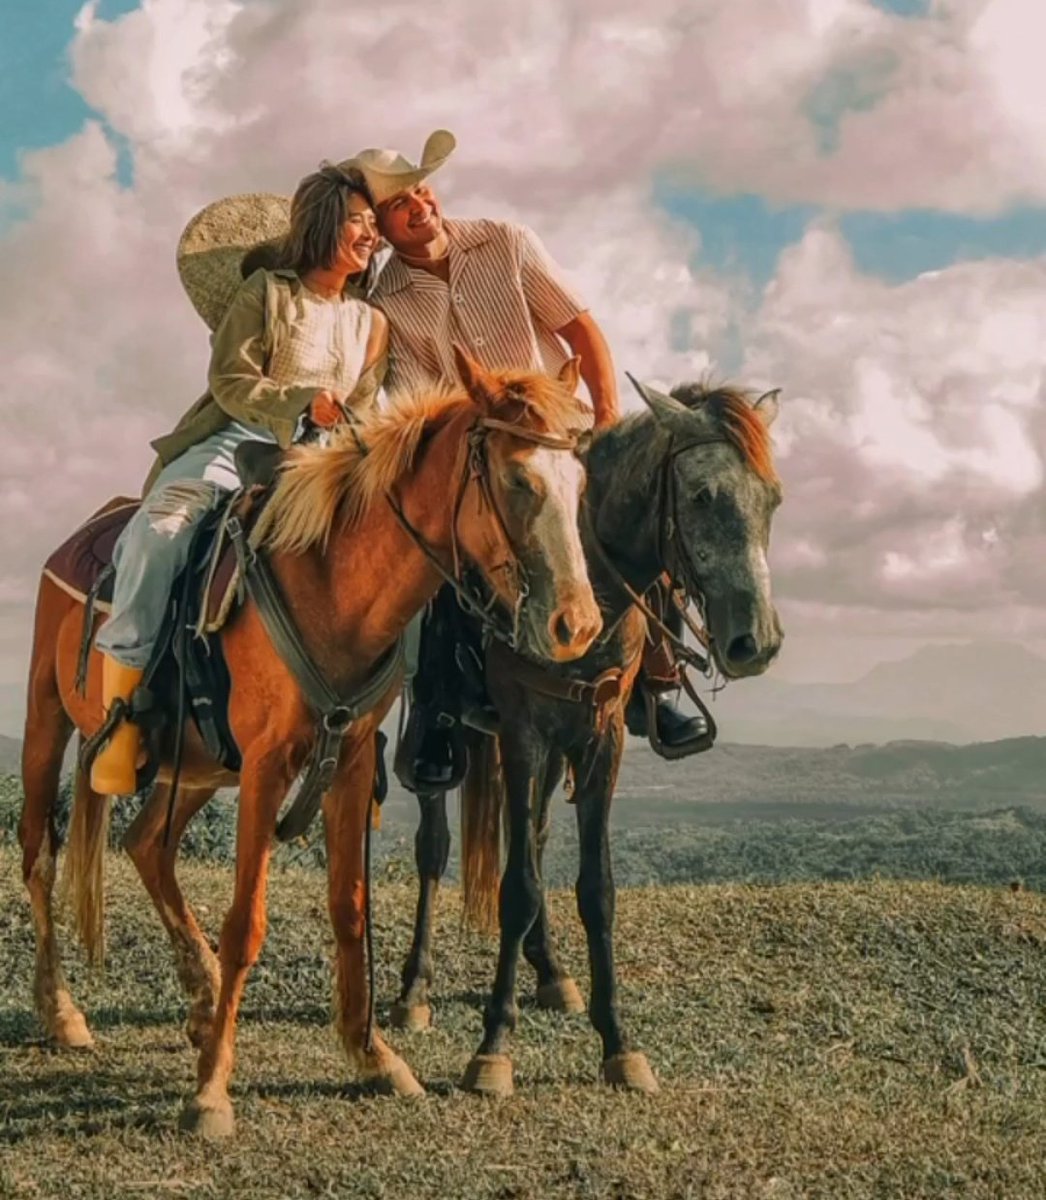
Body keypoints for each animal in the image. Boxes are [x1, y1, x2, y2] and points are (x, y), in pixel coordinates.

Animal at [16, 350, 599, 1137]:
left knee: (146, 846)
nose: (579, 624)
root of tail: (80, 534)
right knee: (39, 855)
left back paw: (203, 997)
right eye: (517, 480)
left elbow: (349, 906)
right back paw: (64, 1011)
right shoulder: (266, 767)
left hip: (197, 766)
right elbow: (246, 921)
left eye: (580, 483)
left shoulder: (348, 760)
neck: (333, 583)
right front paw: (212, 1090)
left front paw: (372, 1055)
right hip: (48, 719)